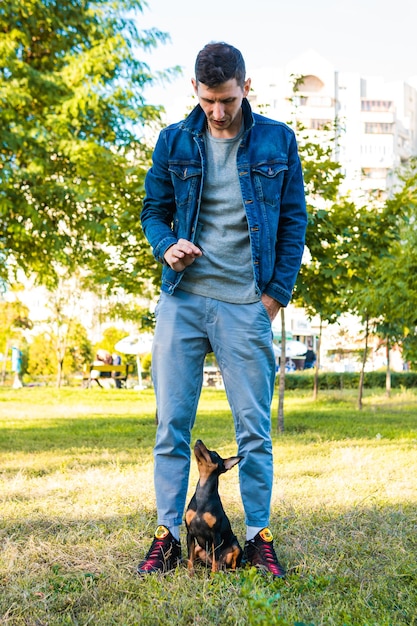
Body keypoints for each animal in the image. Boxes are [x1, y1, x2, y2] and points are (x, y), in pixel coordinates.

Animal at [184, 436, 242, 572]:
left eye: (214, 454)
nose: (198, 440)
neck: (202, 494)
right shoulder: (190, 533)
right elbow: (190, 559)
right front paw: (189, 574)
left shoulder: (216, 536)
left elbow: (216, 560)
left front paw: (214, 576)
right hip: (198, 548)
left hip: (236, 546)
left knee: (225, 563)